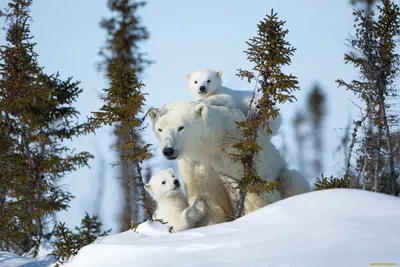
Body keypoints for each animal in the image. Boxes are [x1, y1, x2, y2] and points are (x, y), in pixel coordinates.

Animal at [148, 100, 310, 222]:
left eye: (181, 127)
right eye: (160, 129)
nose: (168, 150)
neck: (212, 147)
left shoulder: (240, 151)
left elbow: (258, 191)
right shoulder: (197, 165)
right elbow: (208, 198)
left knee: (294, 180)